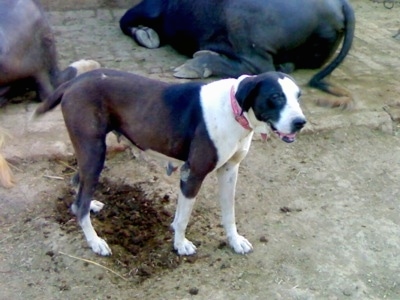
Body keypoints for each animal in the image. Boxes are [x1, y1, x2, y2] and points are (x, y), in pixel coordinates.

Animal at [36, 69, 306, 256]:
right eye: (275, 97)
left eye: (298, 97)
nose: (300, 122)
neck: (233, 108)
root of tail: (75, 81)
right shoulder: (193, 174)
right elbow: (183, 217)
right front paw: (180, 245)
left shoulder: (230, 171)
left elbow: (229, 213)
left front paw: (235, 241)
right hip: (94, 152)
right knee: (79, 203)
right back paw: (95, 241)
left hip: (90, 154)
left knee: (78, 186)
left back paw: (90, 205)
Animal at [120, 0, 354, 106]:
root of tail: (340, 3)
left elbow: (125, 20)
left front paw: (146, 34)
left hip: (243, 28)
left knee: (259, 67)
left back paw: (197, 64)